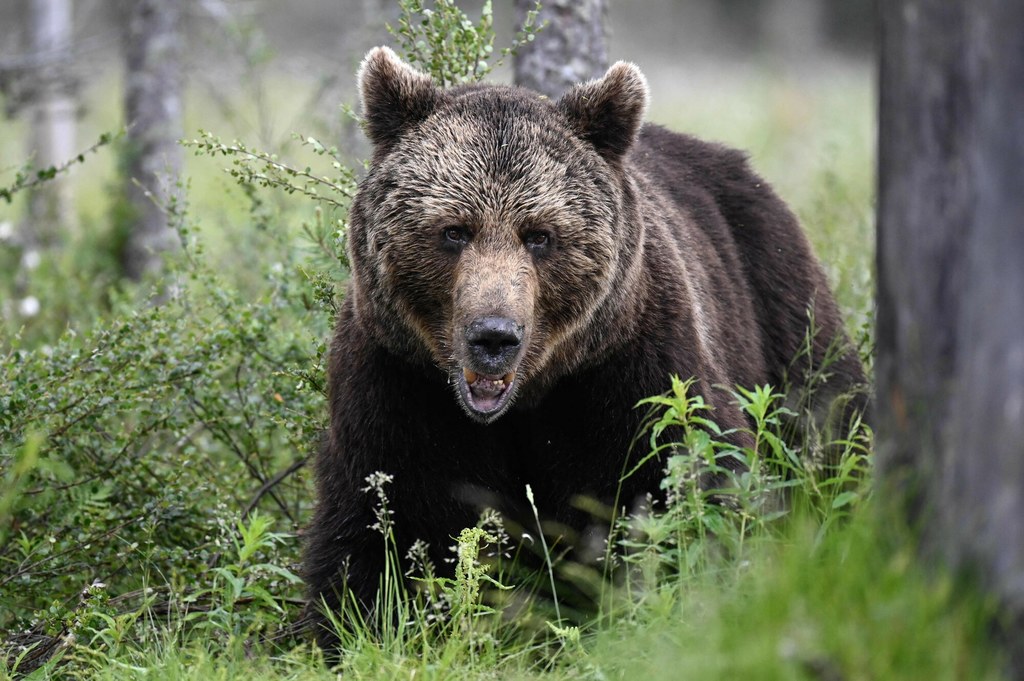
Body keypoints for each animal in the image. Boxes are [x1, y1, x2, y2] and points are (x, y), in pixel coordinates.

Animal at [303, 46, 864, 643]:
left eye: (539, 235)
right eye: (454, 230)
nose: (494, 336)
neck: (525, 402)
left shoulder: (628, 373)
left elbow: (692, 485)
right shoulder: (399, 386)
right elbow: (374, 530)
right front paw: (345, 626)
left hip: (777, 295)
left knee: (830, 420)